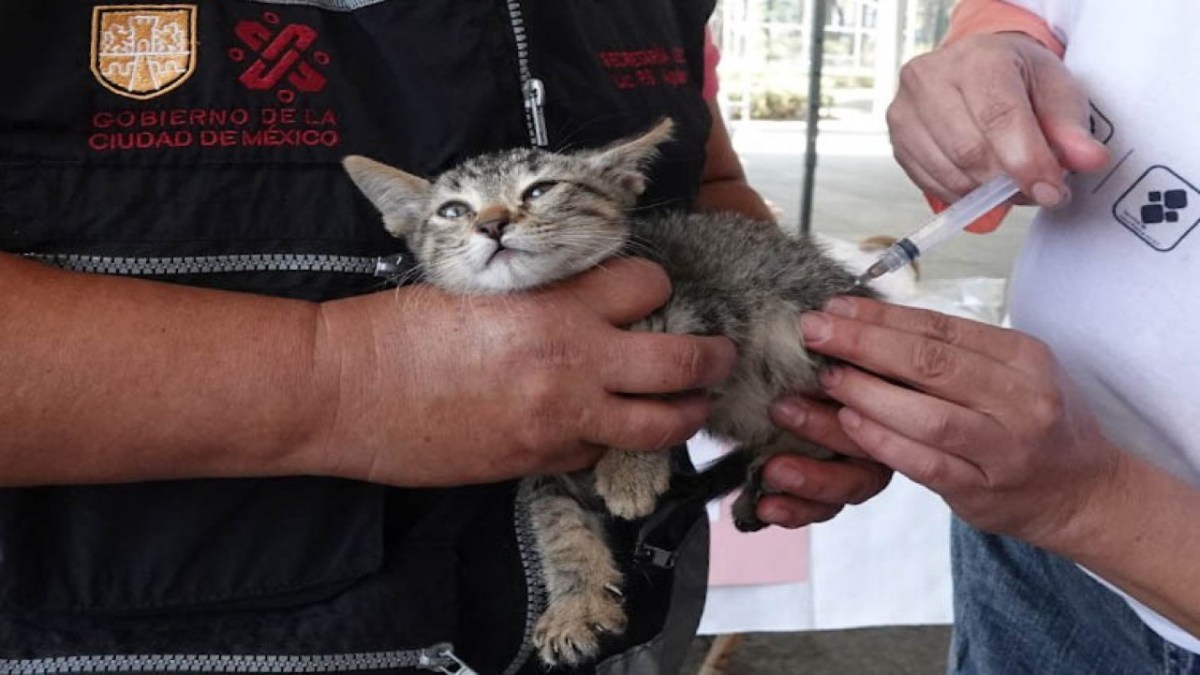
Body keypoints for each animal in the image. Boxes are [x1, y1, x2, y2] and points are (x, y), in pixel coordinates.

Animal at [343, 119, 878, 662]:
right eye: (453, 210)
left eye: (539, 190)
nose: (491, 224)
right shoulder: (543, 446)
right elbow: (557, 524)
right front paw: (577, 604)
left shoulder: (705, 316)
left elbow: (659, 389)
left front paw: (629, 472)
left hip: (796, 325)